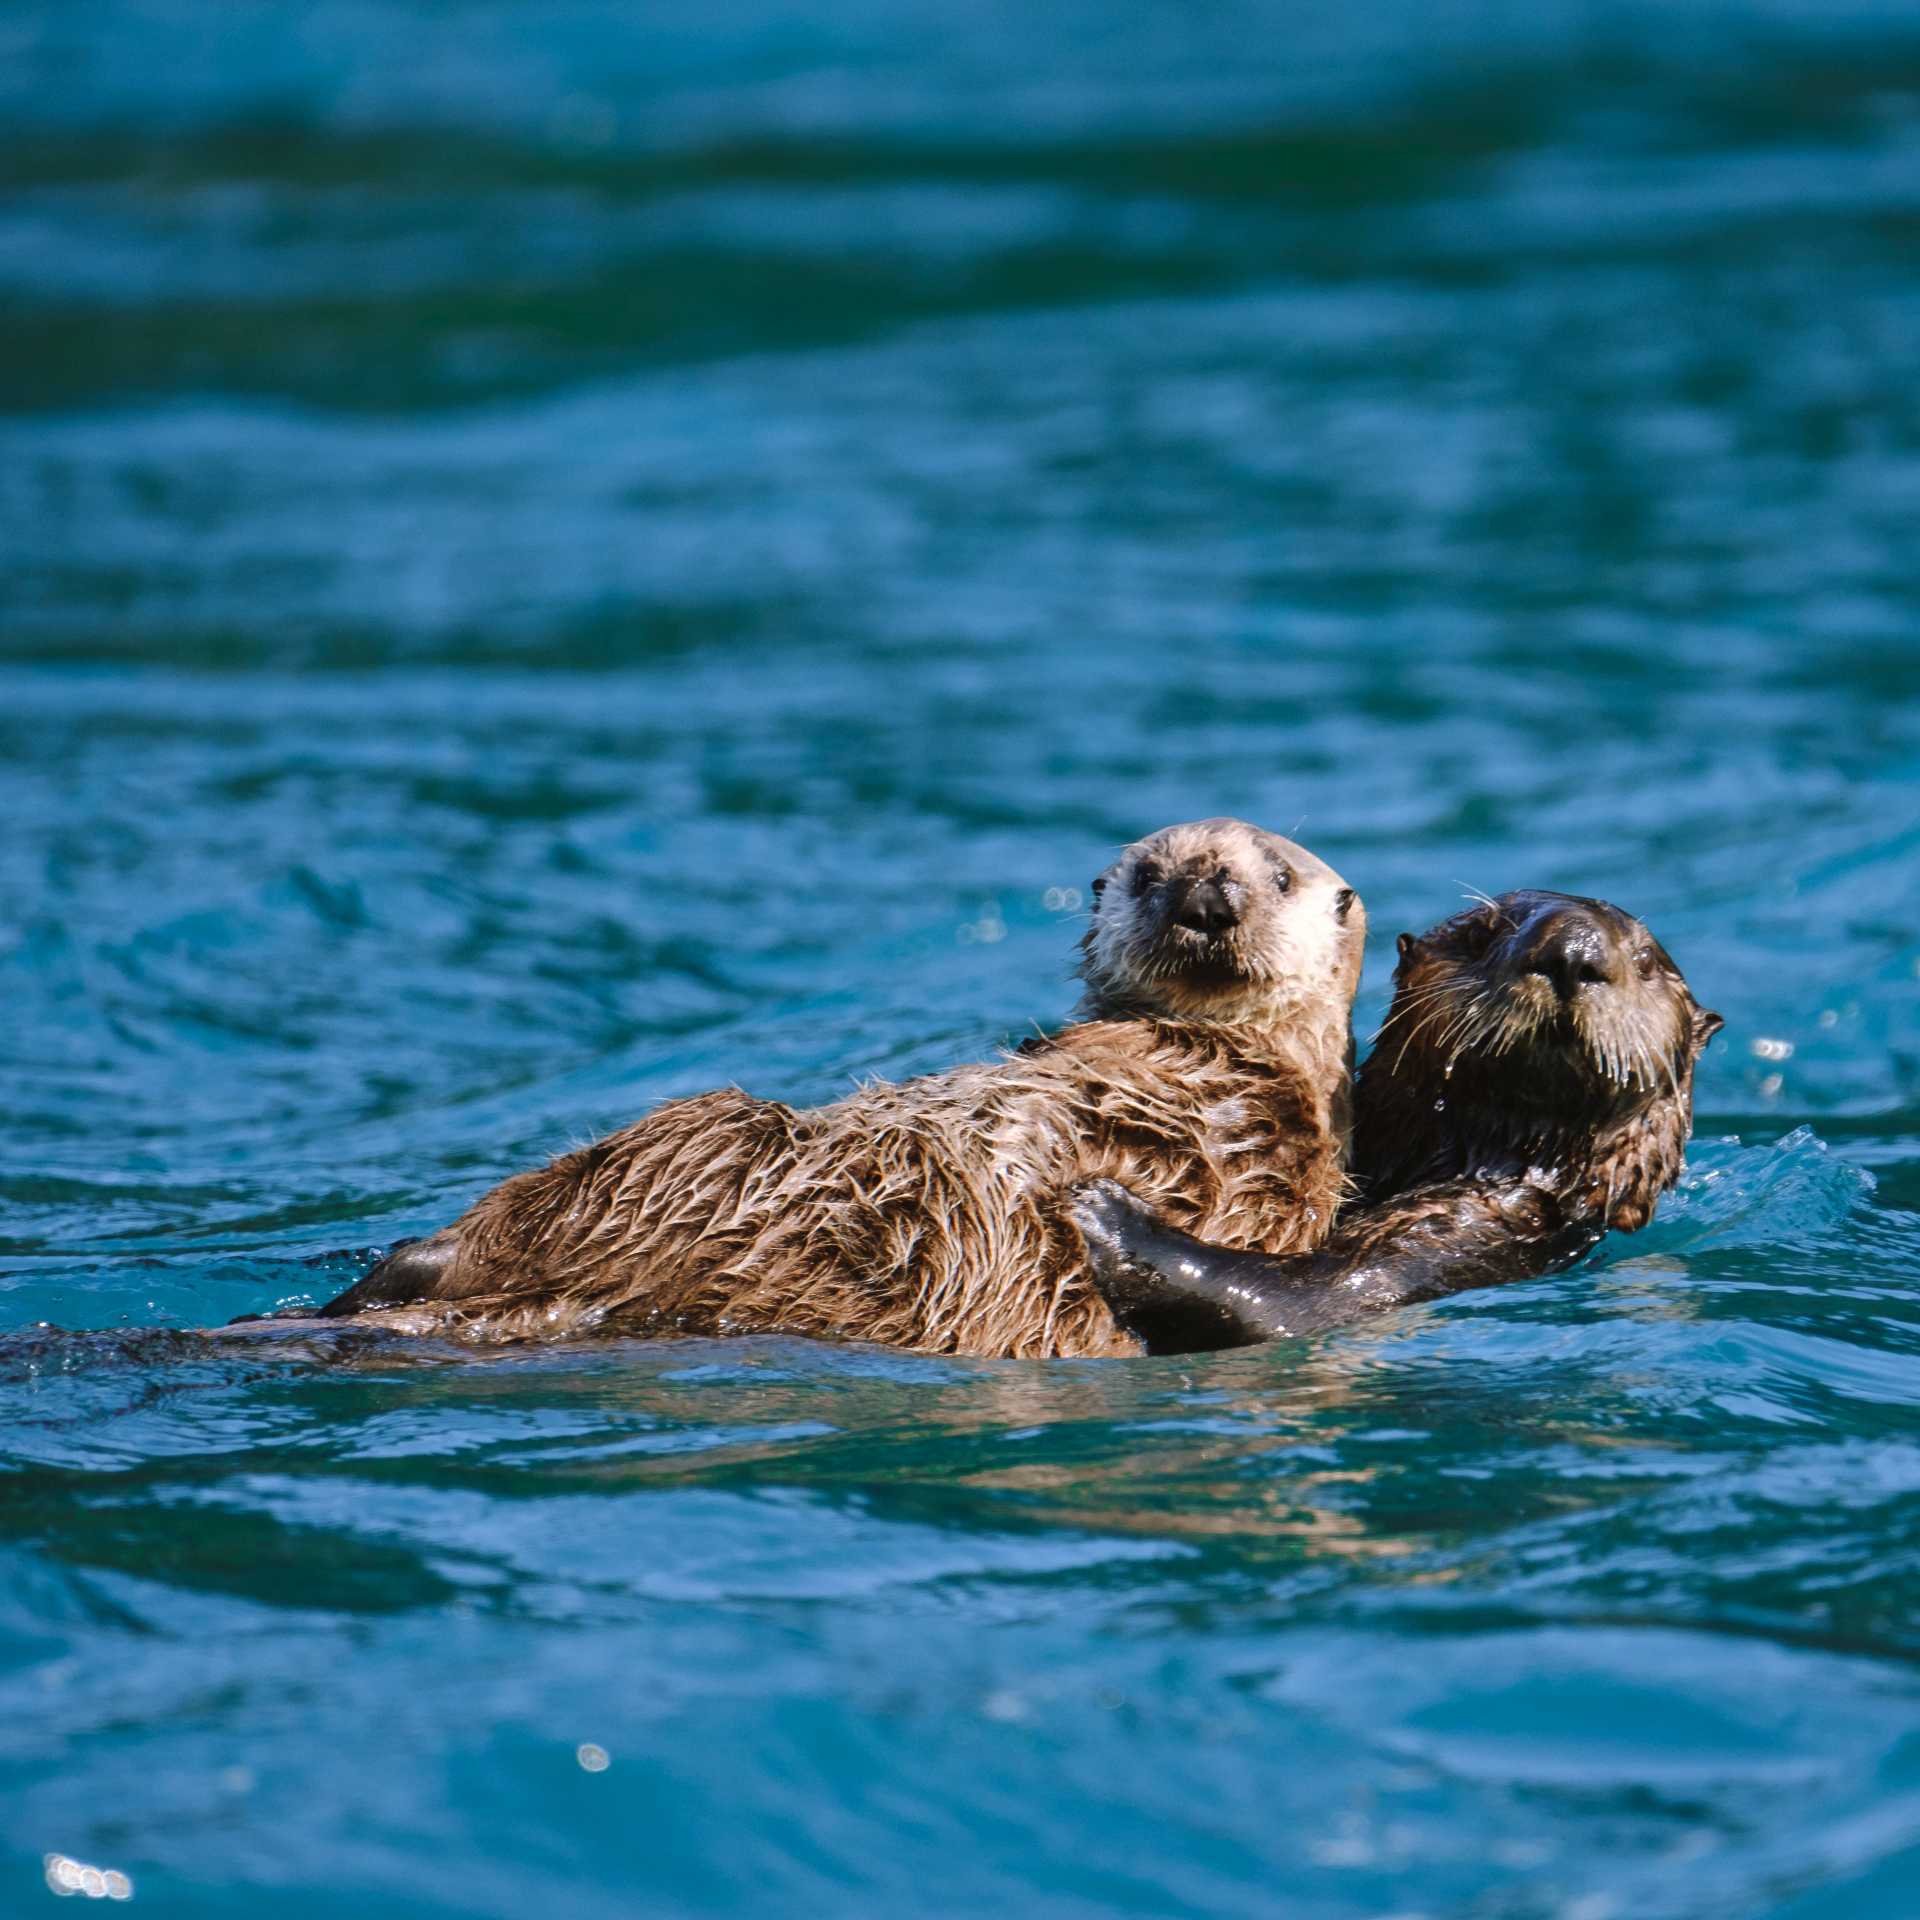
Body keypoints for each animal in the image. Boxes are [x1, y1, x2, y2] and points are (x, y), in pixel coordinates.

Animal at [1070, 891, 1722, 1352]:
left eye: (1645, 960)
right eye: (1483, 933)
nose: (1573, 950)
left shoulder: (1458, 1242)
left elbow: (1279, 1303)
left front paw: (1106, 1213)